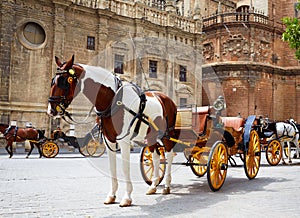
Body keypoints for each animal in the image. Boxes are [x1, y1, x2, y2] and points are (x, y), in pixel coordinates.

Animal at [47, 55, 177, 207]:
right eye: (52, 81)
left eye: (64, 82)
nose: (51, 110)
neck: (113, 100)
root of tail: (166, 98)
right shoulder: (109, 139)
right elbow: (112, 167)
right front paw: (112, 195)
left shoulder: (124, 141)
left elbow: (125, 168)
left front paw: (127, 197)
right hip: (151, 136)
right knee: (156, 158)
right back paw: (153, 186)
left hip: (166, 134)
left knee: (168, 155)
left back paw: (167, 185)